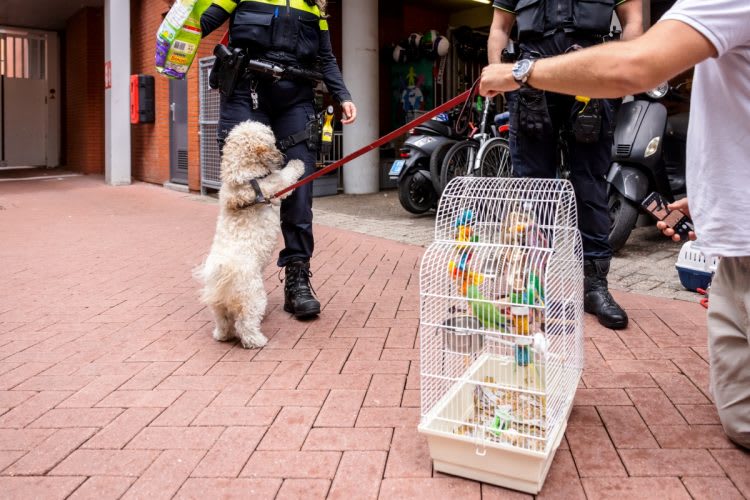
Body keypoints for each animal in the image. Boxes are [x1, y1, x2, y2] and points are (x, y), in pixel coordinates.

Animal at [200, 121, 308, 348]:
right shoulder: (274, 185)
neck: (244, 178)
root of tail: (225, 275)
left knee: (224, 323)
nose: (283, 154)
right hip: (253, 297)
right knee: (245, 324)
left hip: (219, 307)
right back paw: (257, 340)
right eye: (272, 141)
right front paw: (297, 164)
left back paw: (222, 335)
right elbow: (286, 176)